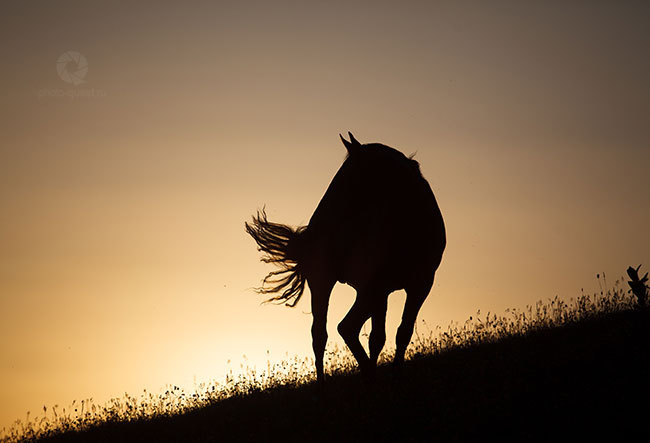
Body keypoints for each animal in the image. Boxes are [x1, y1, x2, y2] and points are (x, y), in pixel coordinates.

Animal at [244, 133, 446, 382]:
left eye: (347, 173)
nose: (319, 220)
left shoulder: (395, 289)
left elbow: (384, 336)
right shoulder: (415, 284)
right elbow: (398, 332)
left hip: (336, 286)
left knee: (321, 334)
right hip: (346, 286)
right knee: (343, 328)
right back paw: (366, 375)